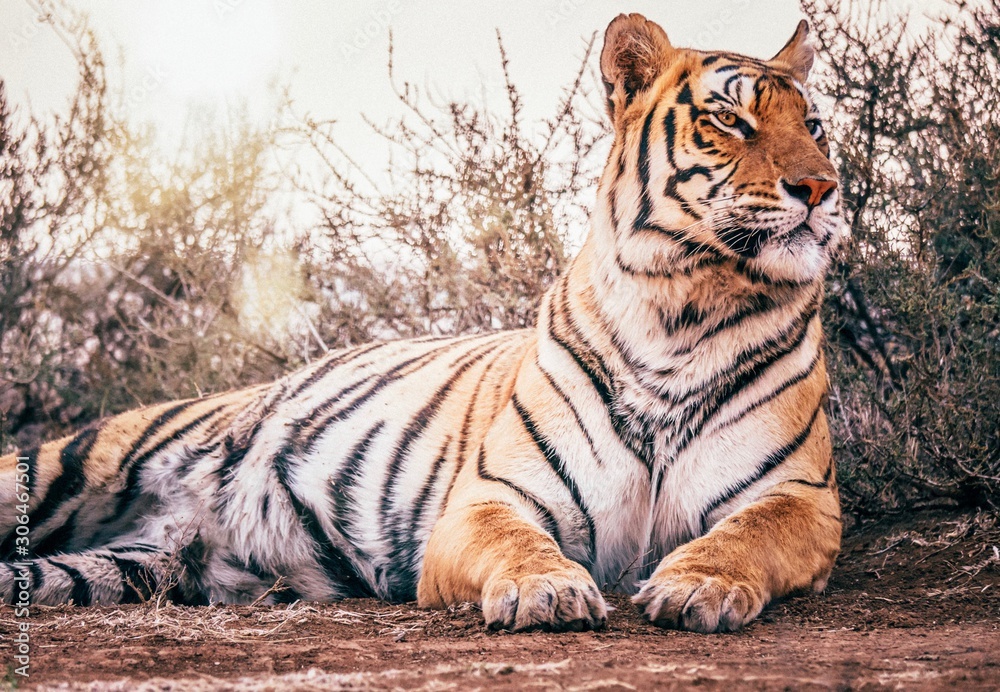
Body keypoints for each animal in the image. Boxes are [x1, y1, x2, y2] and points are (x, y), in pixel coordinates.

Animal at [0, 13, 844, 633]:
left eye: (815, 125)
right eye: (730, 119)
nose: (821, 188)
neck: (688, 305)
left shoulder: (801, 496)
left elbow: (748, 533)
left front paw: (697, 583)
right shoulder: (486, 499)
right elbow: (518, 542)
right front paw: (547, 591)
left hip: (121, 567)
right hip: (67, 464)